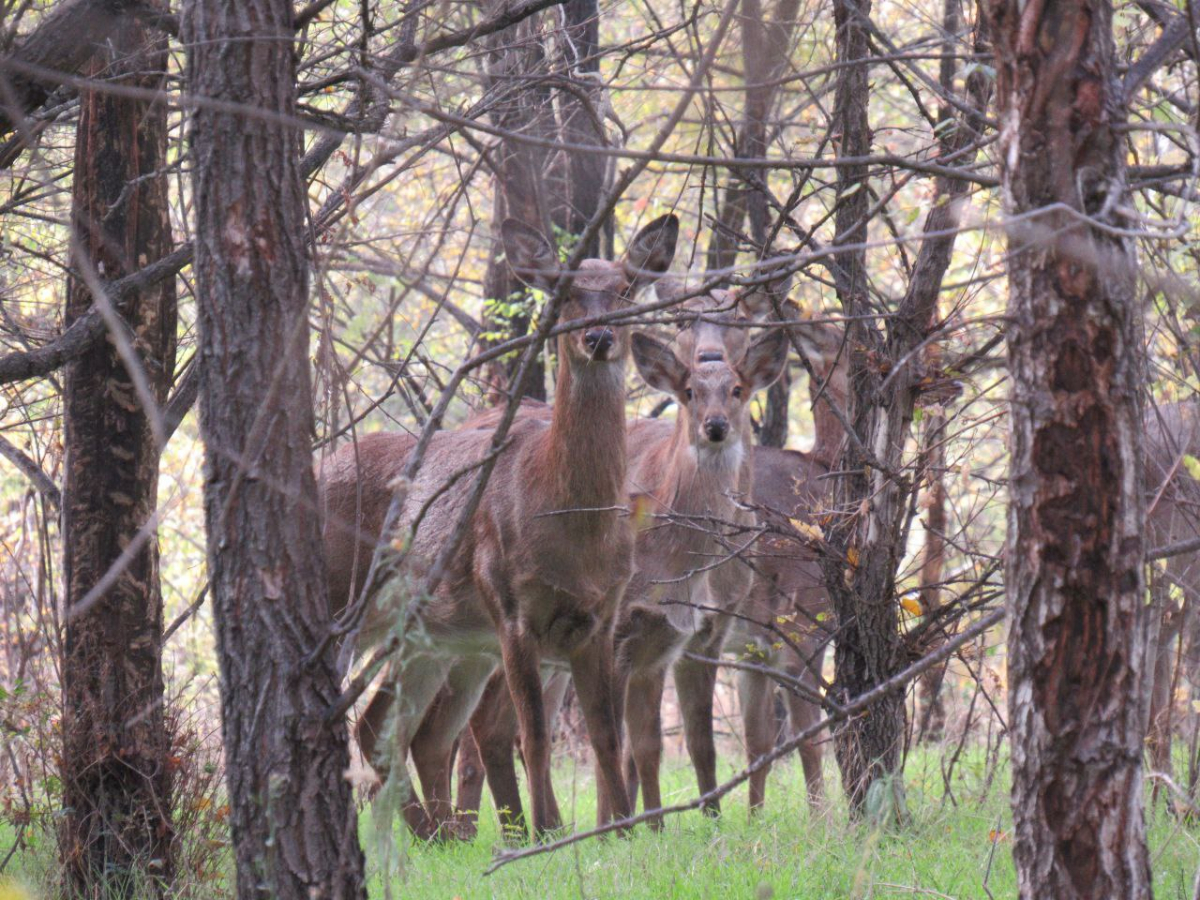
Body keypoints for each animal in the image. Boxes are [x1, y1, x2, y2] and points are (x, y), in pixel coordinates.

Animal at [314, 214, 681, 844]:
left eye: (627, 290)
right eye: (563, 294)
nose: (599, 337)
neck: (571, 522)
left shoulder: (600, 617)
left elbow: (607, 737)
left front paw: (623, 834)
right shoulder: (510, 606)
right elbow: (531, 737)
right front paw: (546, 834)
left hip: (437, 637)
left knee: (387, 724)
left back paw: (435, 835)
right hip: (349, 604)